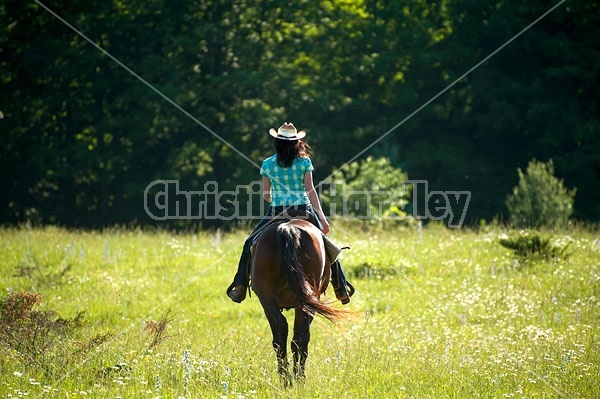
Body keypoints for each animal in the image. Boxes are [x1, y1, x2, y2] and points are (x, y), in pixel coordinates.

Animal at [251, 219, 344, 384]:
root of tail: (287, 228)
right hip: (306, 303)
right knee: (300, 338)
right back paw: (298, 378)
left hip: (267, 300)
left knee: (281, 334)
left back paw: (285, 379)